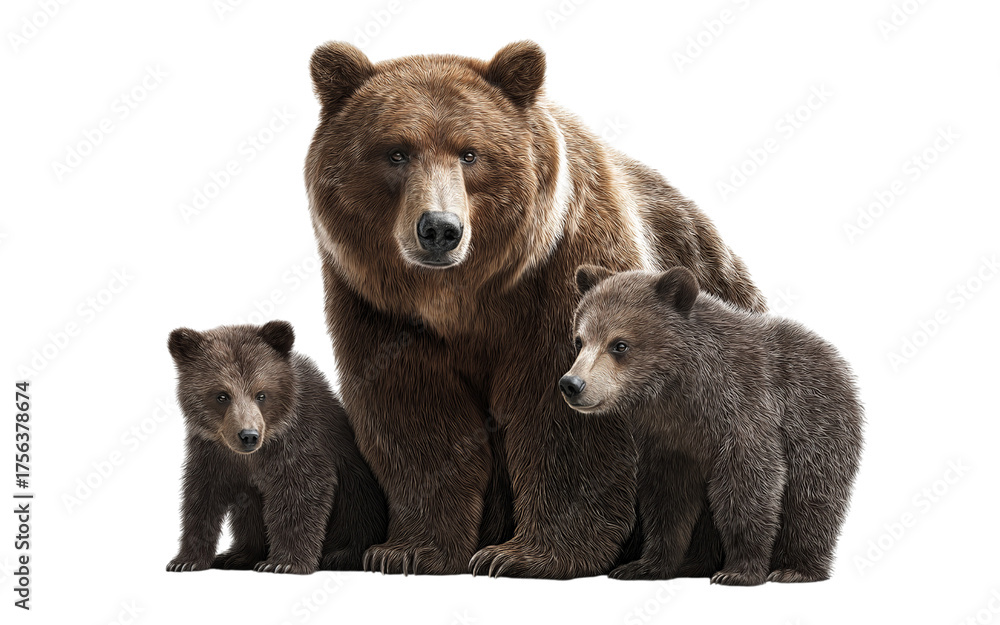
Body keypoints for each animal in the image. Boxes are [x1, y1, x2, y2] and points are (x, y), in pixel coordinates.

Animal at [165, 320, 387, 574]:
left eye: (261, 394)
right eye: (222, 395)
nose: (248, 436)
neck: (252, 455)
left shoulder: (298, 442)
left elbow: (300, 493)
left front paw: (282, 562)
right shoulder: (211, 451)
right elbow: (202, 497)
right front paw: (185, 560)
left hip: (358, 497)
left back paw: (337, 556)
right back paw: (236, 556)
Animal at [305, 40, 767, 578]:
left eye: (471, 153)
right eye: (396, 152)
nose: (439, 228)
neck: (461, 298)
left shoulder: (563, 275)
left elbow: (563, 418)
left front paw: (520, 555)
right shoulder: (379, 309)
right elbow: (416, 415)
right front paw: (407, 550)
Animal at [561, 265, 864, 585]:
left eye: (619, 344)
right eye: (579, 340)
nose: (572, 384)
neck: (678, 392)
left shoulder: (744, 411)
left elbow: (749, 484)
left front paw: (738, 570)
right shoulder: (666, 439)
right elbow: (667, 499)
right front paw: (643, 565)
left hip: (817, 428)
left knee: (810, 500)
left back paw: (796, 568)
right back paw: (695, 564)